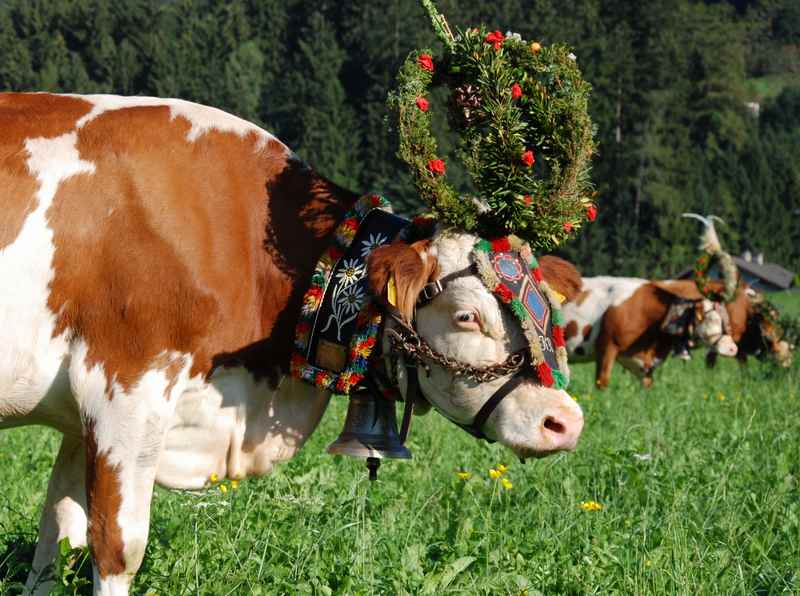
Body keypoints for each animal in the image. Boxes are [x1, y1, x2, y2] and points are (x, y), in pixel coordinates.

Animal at [1, 91, 588, 592]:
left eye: (546, 307)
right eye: (467, 316)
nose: (565, 421)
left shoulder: (80, 417)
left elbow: (57, 540)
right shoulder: (126, 387)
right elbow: (115, 547)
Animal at [564, 278, 736, 388]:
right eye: (712, 319)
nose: (733, 348)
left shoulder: (642, 364)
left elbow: (646, 386)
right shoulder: (607, 346)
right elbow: (602, 382)